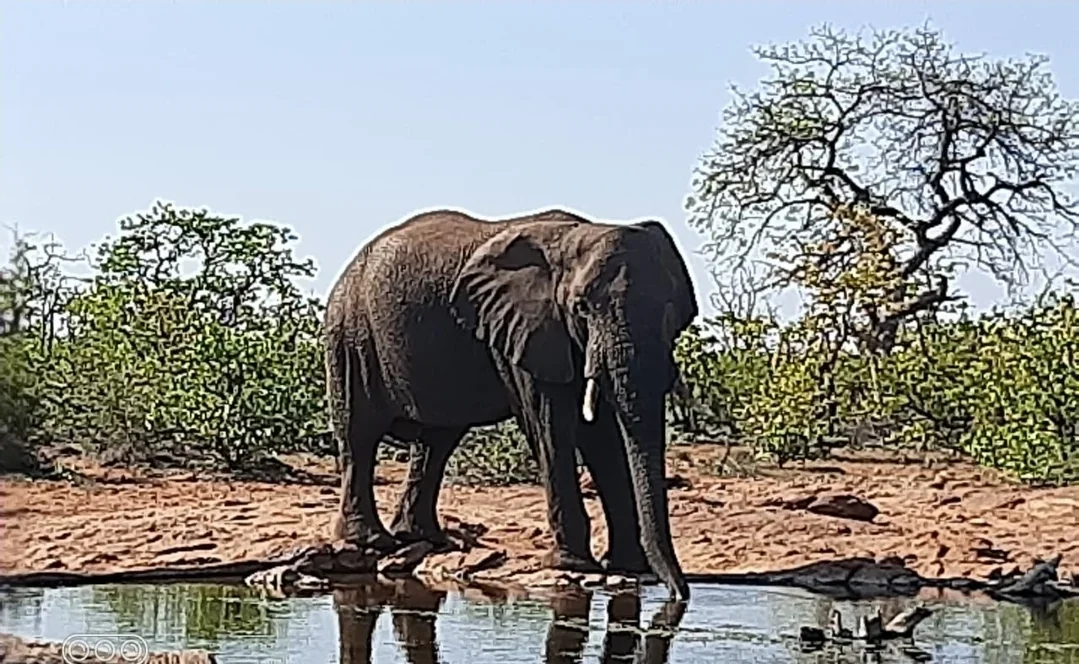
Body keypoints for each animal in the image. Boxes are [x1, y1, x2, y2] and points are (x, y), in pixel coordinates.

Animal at [323, 208, 698, 600]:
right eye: (581, 307)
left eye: (671, 309)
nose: (679, 595)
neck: (577, 236)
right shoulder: (527, 330)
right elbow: (552, 426)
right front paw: (574, 565)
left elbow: (601, 435)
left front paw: (625, 566)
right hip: (350, 334)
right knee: (360, 435)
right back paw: (372, 541)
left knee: (436, 442)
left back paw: (426, 539)